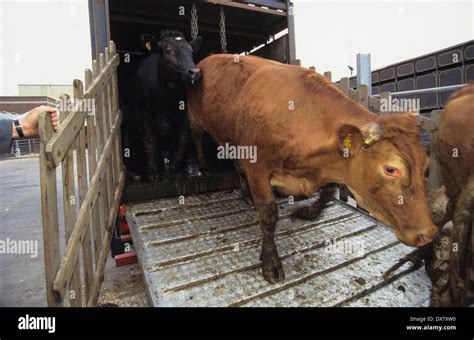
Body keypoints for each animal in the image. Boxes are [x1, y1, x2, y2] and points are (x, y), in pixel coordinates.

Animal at [133, 30, 202, 182]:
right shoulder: (145, 114)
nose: (195, 73)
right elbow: (150, 140)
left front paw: (174, 169)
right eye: (168, 50)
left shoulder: (183, 113)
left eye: (191, 51)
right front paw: (153, 172)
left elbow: (183, 137)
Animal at [187, 54, 438, 282]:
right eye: (391, 169)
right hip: (196, 120)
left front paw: (307, 212)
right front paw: (270, 263)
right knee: (197, 139)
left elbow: (328, 192)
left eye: (426, 164)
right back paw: (207, 169)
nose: (428, 234)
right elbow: (268, 215)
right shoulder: (258, 168)